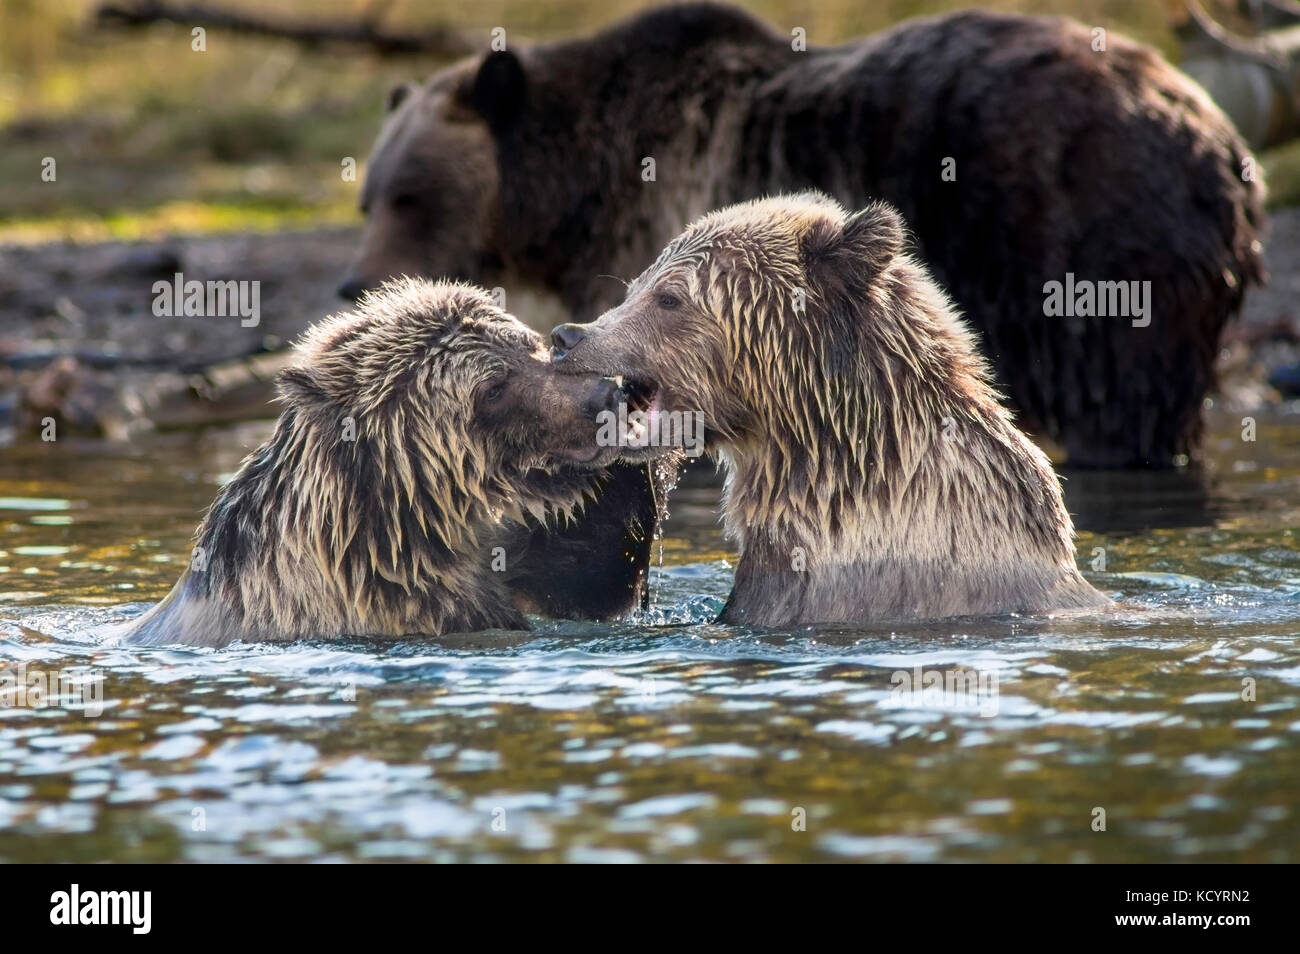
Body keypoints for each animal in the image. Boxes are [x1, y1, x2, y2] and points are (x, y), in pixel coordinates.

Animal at [340, 0, 1263, 470]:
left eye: (412, 196)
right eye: (371, 196)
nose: (355, 280)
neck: (579, 189)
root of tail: (1222, 143)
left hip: (1093, 257)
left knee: (1121, 397)